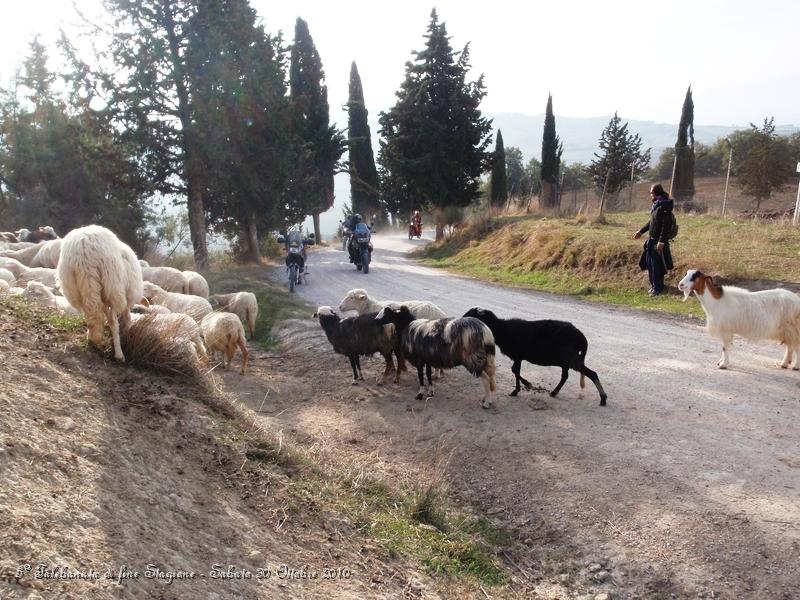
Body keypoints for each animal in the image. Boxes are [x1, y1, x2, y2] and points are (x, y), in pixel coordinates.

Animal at [56, 225, 144, 360]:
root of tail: (84, 251)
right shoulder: (126, 297)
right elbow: (126, 317)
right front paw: (127, 332)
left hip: (76, 289)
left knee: (91, 315)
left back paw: (92, 337)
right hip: (113, 287)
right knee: (113, 321)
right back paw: (119, 354)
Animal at [462, 308, 608, 406]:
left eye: (471, 315)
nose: (461, 320)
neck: (501, 329)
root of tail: (582, 338)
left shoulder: (517, 355)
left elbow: (515, 370)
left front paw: (522, 387)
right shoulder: (518, 356)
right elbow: (515, 370)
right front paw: (522, 387)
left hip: (570, 358)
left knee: (592, 373)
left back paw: (603, 398)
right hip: (567, 360)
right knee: (565, 376)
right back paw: (554, 392)